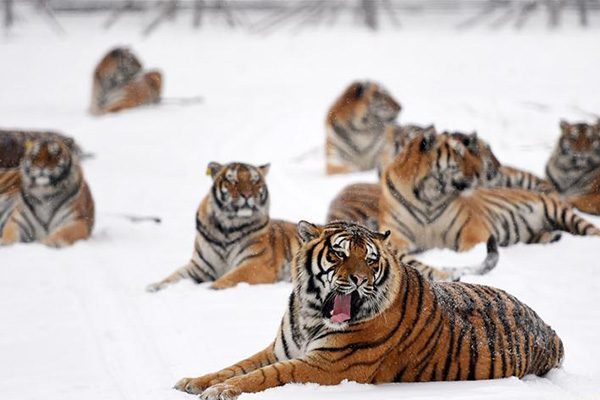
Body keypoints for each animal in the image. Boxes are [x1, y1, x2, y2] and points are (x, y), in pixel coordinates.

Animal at [148, 162, 500, 290]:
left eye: (255, 181)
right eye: (232, 181)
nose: (247, 195)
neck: (226, 227)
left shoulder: (255, 266)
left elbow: (225, 280)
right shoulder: (198, 265)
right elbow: (171, 278)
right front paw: (152, 288)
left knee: (435, 270)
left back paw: (451, 275)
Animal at [173, 220, 564, 398]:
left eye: (371, 260)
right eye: (339, 254)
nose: (360, 279)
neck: (310, 313)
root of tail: (550, 330)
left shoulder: (326, 365)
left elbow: (266, 376)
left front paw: (221, 391)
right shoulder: (280, 349)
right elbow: (237, 364)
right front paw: (194, 381)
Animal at [380, 130, 600, 252]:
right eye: (458, 153)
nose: (481, 172)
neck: (427, 196)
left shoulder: (473, 230)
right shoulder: (396, 230)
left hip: (560, 212)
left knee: (591, 231)